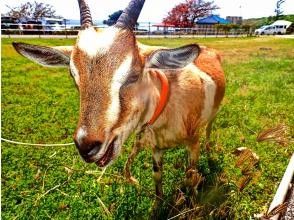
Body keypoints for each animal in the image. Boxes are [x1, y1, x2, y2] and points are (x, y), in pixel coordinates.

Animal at [12, 0, 225, 203]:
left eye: (134, 75)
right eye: (73, 76)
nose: (86, 147)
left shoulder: (193, 143)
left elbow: (191, 178)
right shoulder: (156, 149)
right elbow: (157, 178)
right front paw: (158, 206)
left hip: (211, 120)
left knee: (209, 130)